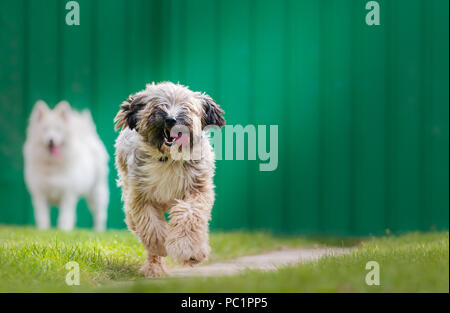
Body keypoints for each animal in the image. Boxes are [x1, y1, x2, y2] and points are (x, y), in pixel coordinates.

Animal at [23, 99, 109, 229]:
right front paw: (43, 230)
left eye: (58, 129)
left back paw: (98, 230)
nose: (51, 140)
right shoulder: (39, 195)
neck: (52, 165)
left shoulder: (68, 194)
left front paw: (64, 230)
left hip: (96, 193)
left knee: (100, 214)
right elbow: (42, 217)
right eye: (45, 129)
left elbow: (65, 216)